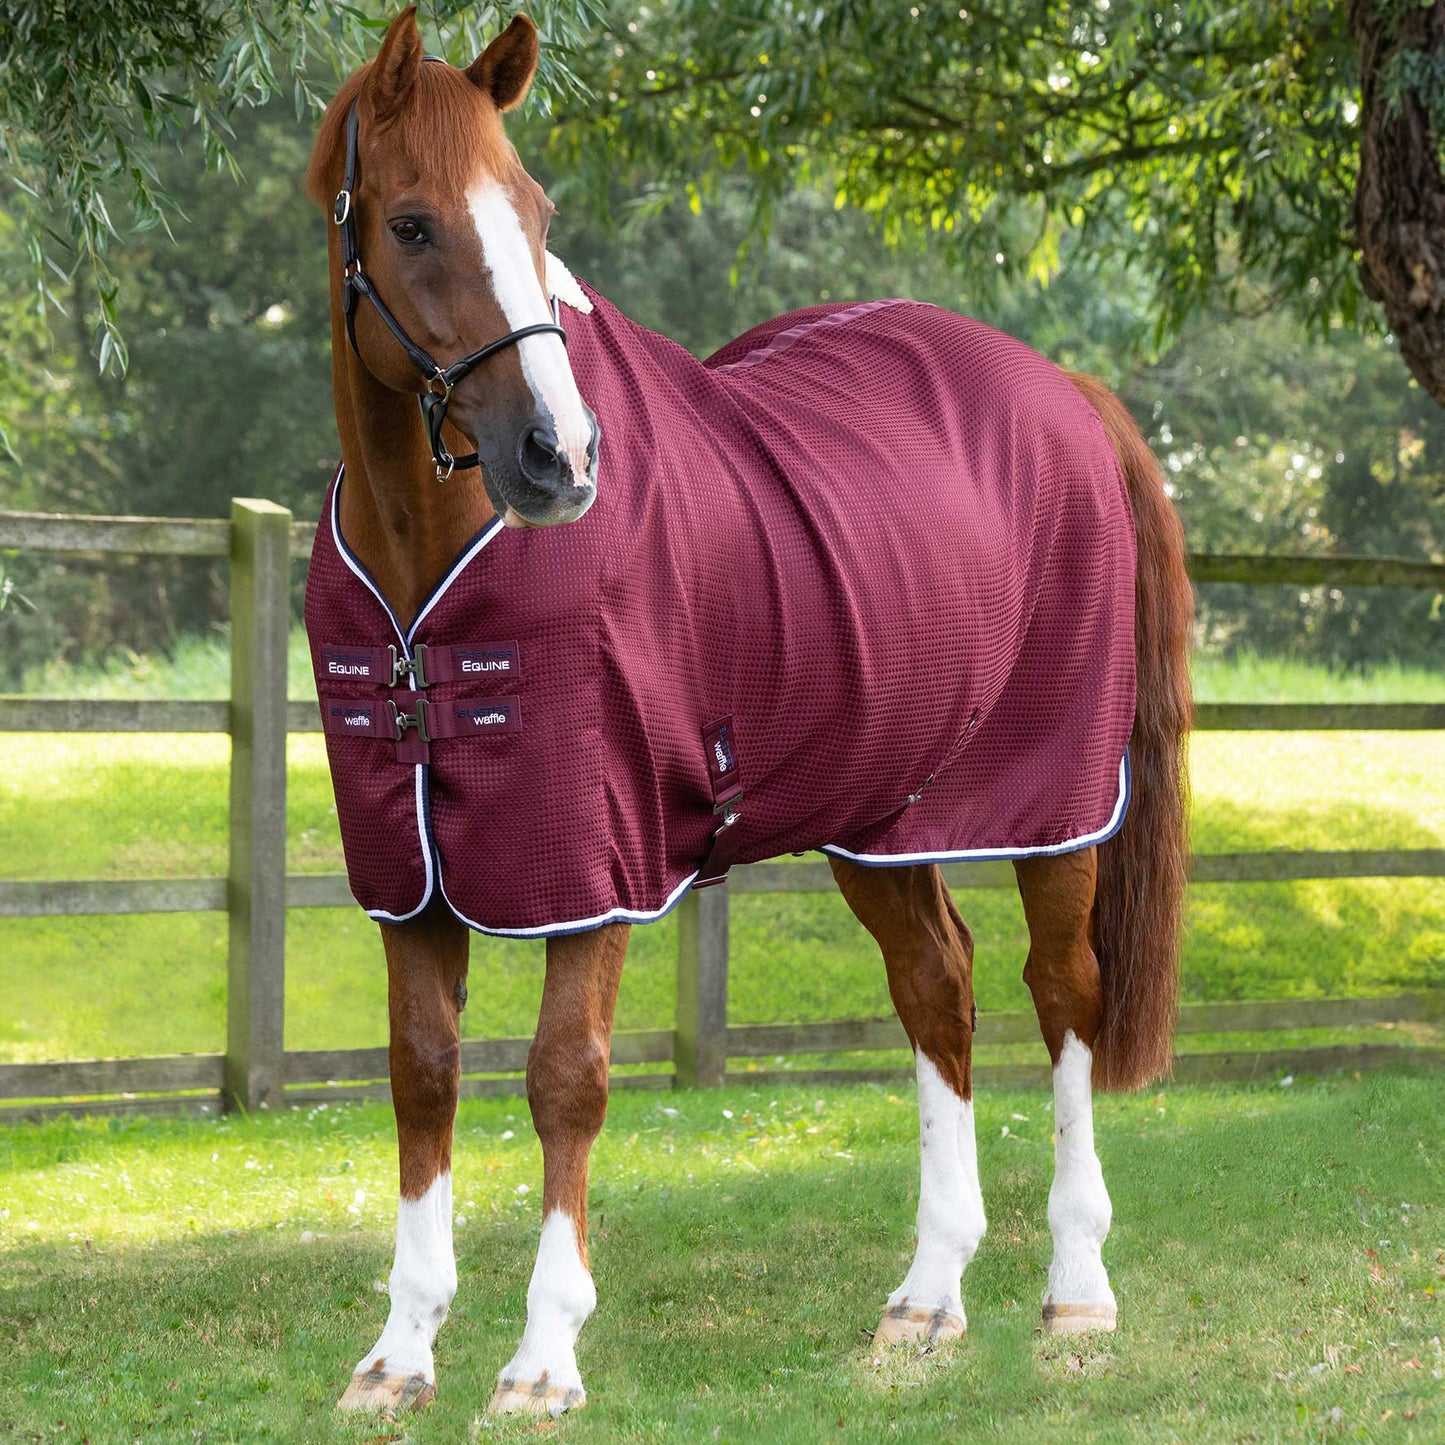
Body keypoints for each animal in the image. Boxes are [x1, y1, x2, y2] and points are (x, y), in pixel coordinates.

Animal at [303, 7, 1191, 1417]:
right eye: (410, 223)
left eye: (535, 210)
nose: (561, 457)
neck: (424, 563)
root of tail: (1063, 391)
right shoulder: (412, 874)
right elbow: (421, 1072)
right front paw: (398, 1351)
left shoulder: (589, 865)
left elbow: (564, 1077)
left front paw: (543, 1356)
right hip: (883, 814)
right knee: (937, 986)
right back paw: (926, 1297)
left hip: (1049, 806)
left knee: (1064, 994)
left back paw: (1075, 1287)